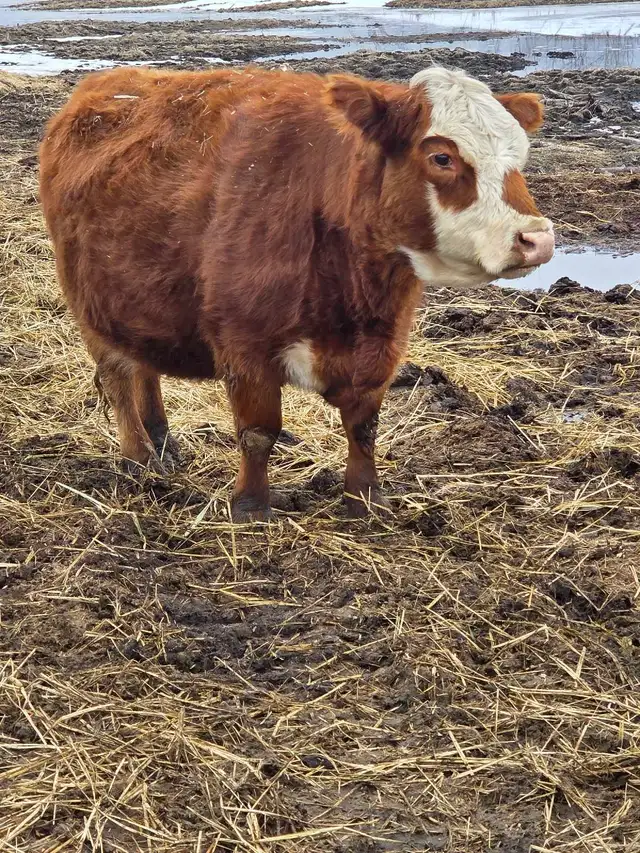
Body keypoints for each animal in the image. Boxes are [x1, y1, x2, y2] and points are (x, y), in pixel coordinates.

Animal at [39, 65, 554, 522]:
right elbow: (258, 433)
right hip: (89, 307)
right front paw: (251, 507)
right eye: (442, 157)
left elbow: (364, 428)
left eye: (521, 156)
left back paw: (163, 442)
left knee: (144, 370)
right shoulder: (244, 345)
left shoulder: (383, 346)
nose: (537, 238)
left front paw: (366, 501)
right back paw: (140, 459)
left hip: (134, 301)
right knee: (118, 379)